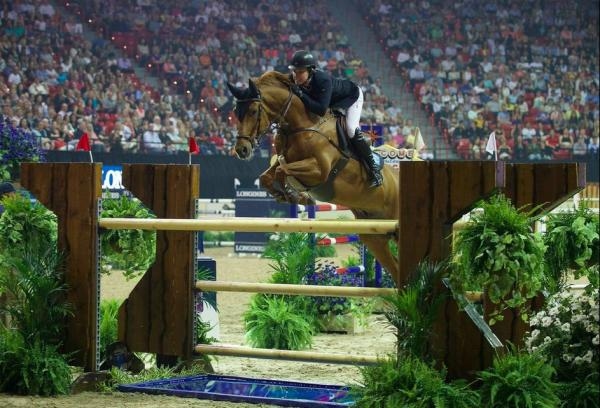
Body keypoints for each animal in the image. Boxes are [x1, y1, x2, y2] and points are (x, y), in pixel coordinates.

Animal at [230, 71, 404, 286]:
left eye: (254, 111)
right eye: (236, 112)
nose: (241, 150)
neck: (302, 125)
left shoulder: (319, 170)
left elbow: (283, 172)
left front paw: (297, 195)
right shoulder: (283, 159)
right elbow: (266, 177)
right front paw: (288, 195)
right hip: (374, 236)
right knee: (396, 269)